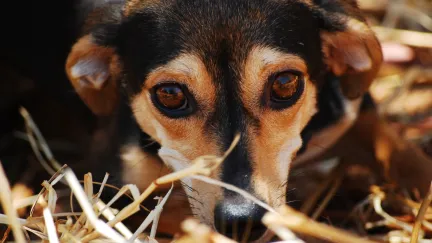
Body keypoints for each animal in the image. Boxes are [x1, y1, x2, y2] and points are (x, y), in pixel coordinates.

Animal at [62, 0, 432, 242]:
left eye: (285, 83)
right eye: (169, 94)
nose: (241, 221)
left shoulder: (353, 112)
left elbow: (408, 158)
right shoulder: (122, 192)